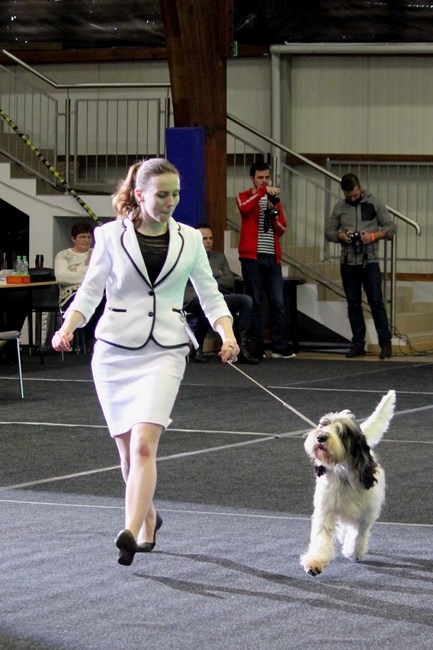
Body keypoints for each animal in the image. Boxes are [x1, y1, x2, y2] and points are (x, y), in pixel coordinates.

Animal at [300, 390, 396, 576]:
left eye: (341, 432)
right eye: (323, 425)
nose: (320, 437)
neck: (343, 474)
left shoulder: (365, 514)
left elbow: (358, 535)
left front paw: (353, 552)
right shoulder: (326, 510)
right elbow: (321, 537)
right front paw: (315, 562)